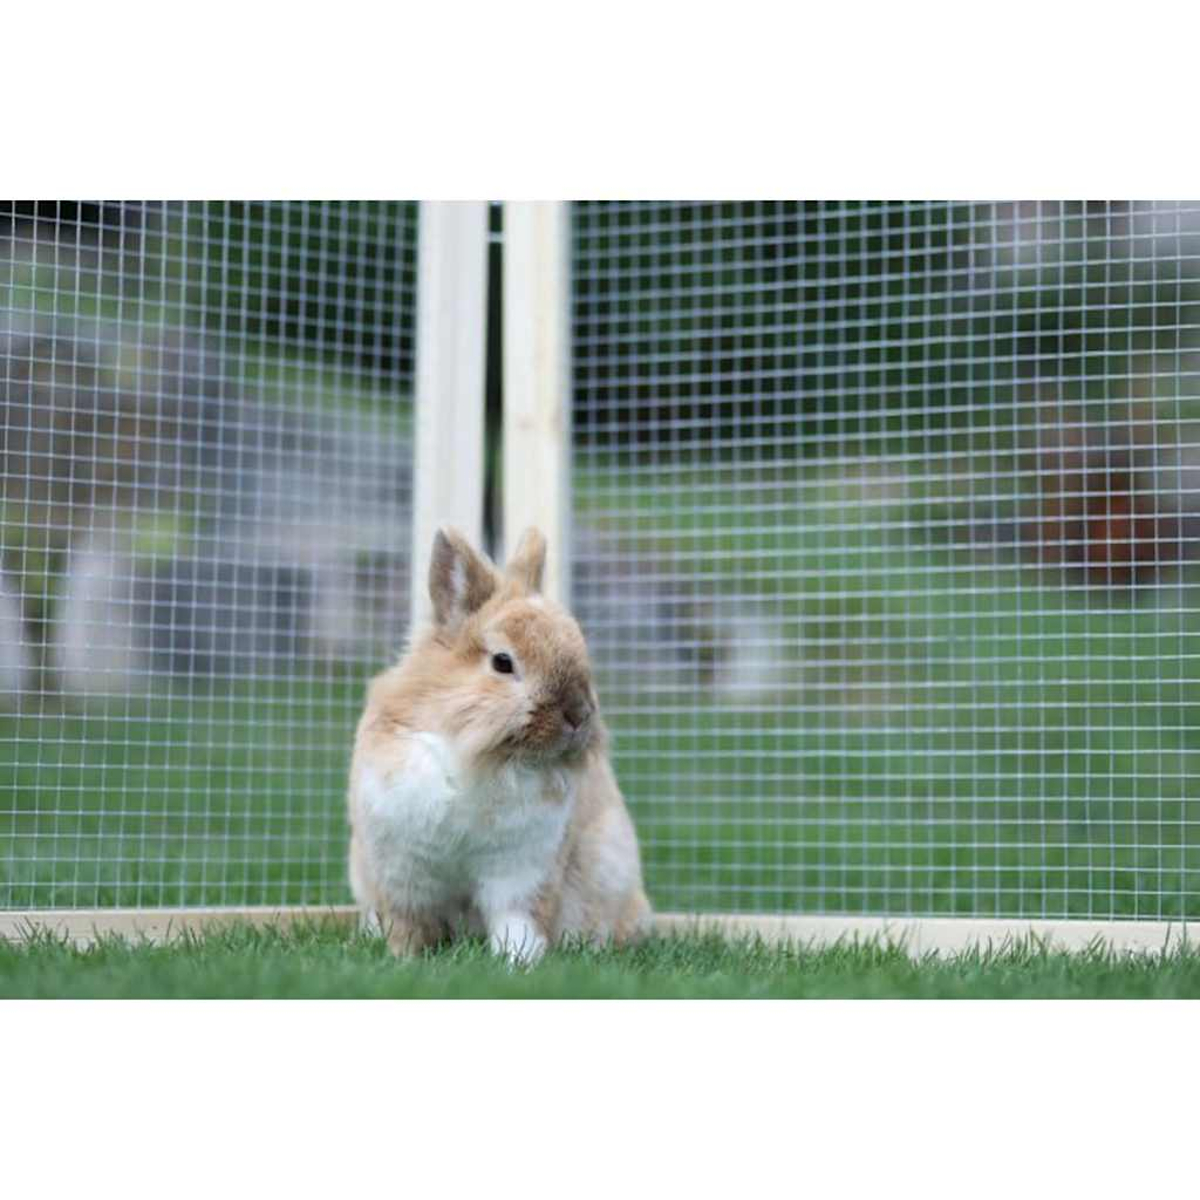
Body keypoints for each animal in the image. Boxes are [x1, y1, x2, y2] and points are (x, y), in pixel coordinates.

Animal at [346, 525, 651, 964]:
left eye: (579, 649)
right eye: (503, 662)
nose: (577, 714)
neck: (482, 759)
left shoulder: (524, 871)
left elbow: (517, 922)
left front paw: (518, 962)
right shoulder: (402, 869)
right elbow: (408, 923)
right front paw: (404, 959)